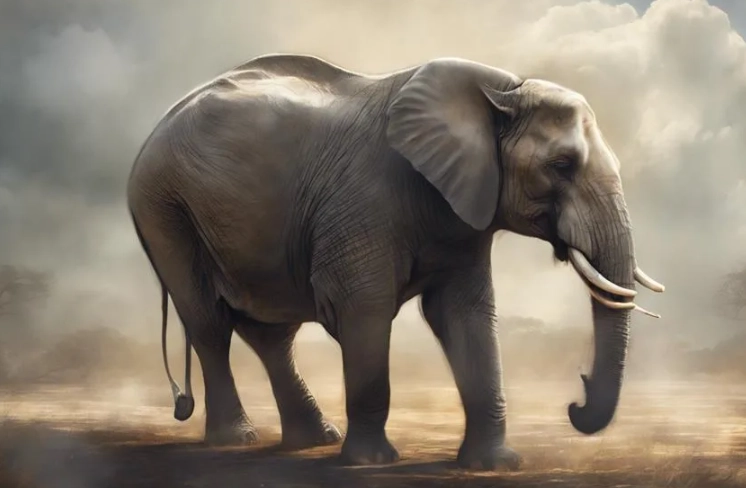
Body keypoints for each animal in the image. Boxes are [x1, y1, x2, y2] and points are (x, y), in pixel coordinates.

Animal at [127, 53, 665, 470]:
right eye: (561, 165)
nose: (575, 401)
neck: (503, 87)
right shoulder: (366, 201)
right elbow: (365, 308)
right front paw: (370, 463)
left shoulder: (464, 211)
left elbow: (464, 315)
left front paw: (494, 466)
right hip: (164, 207)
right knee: (208, 323)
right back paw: (239, 439)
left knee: (270, 333)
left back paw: (314, 440)